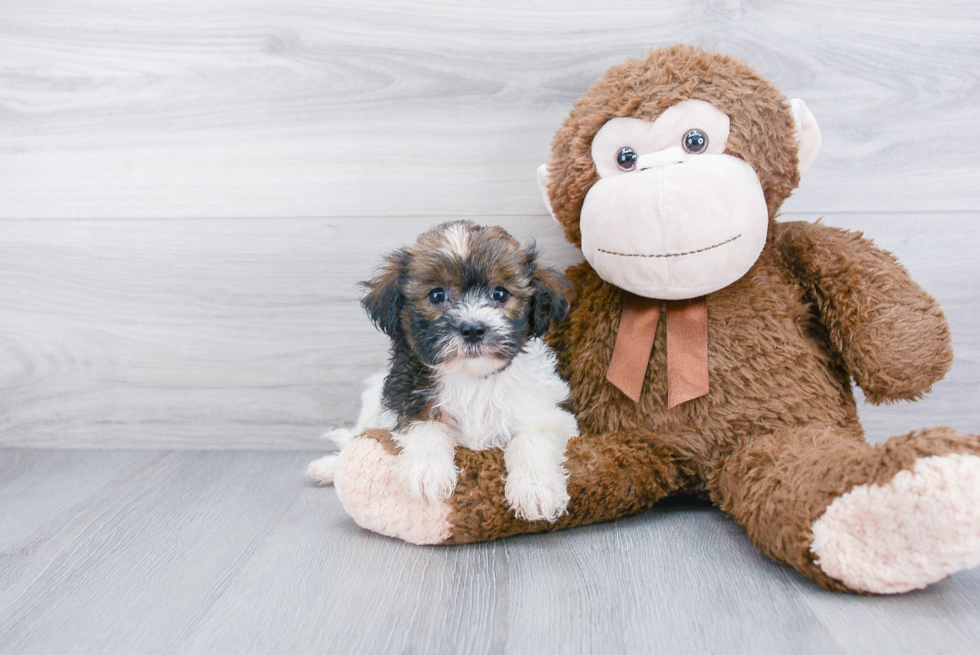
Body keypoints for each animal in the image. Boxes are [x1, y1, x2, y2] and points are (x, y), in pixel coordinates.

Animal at [310, 220, 580, 524]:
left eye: (500, 293)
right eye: (437, 295)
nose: (473, 329)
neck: (472, 379)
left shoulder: (548, 414)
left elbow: (532, 438)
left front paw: (536, 489)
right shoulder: (407, 397)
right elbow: (425, 425)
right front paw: (427, 471)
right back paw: (328, 466)